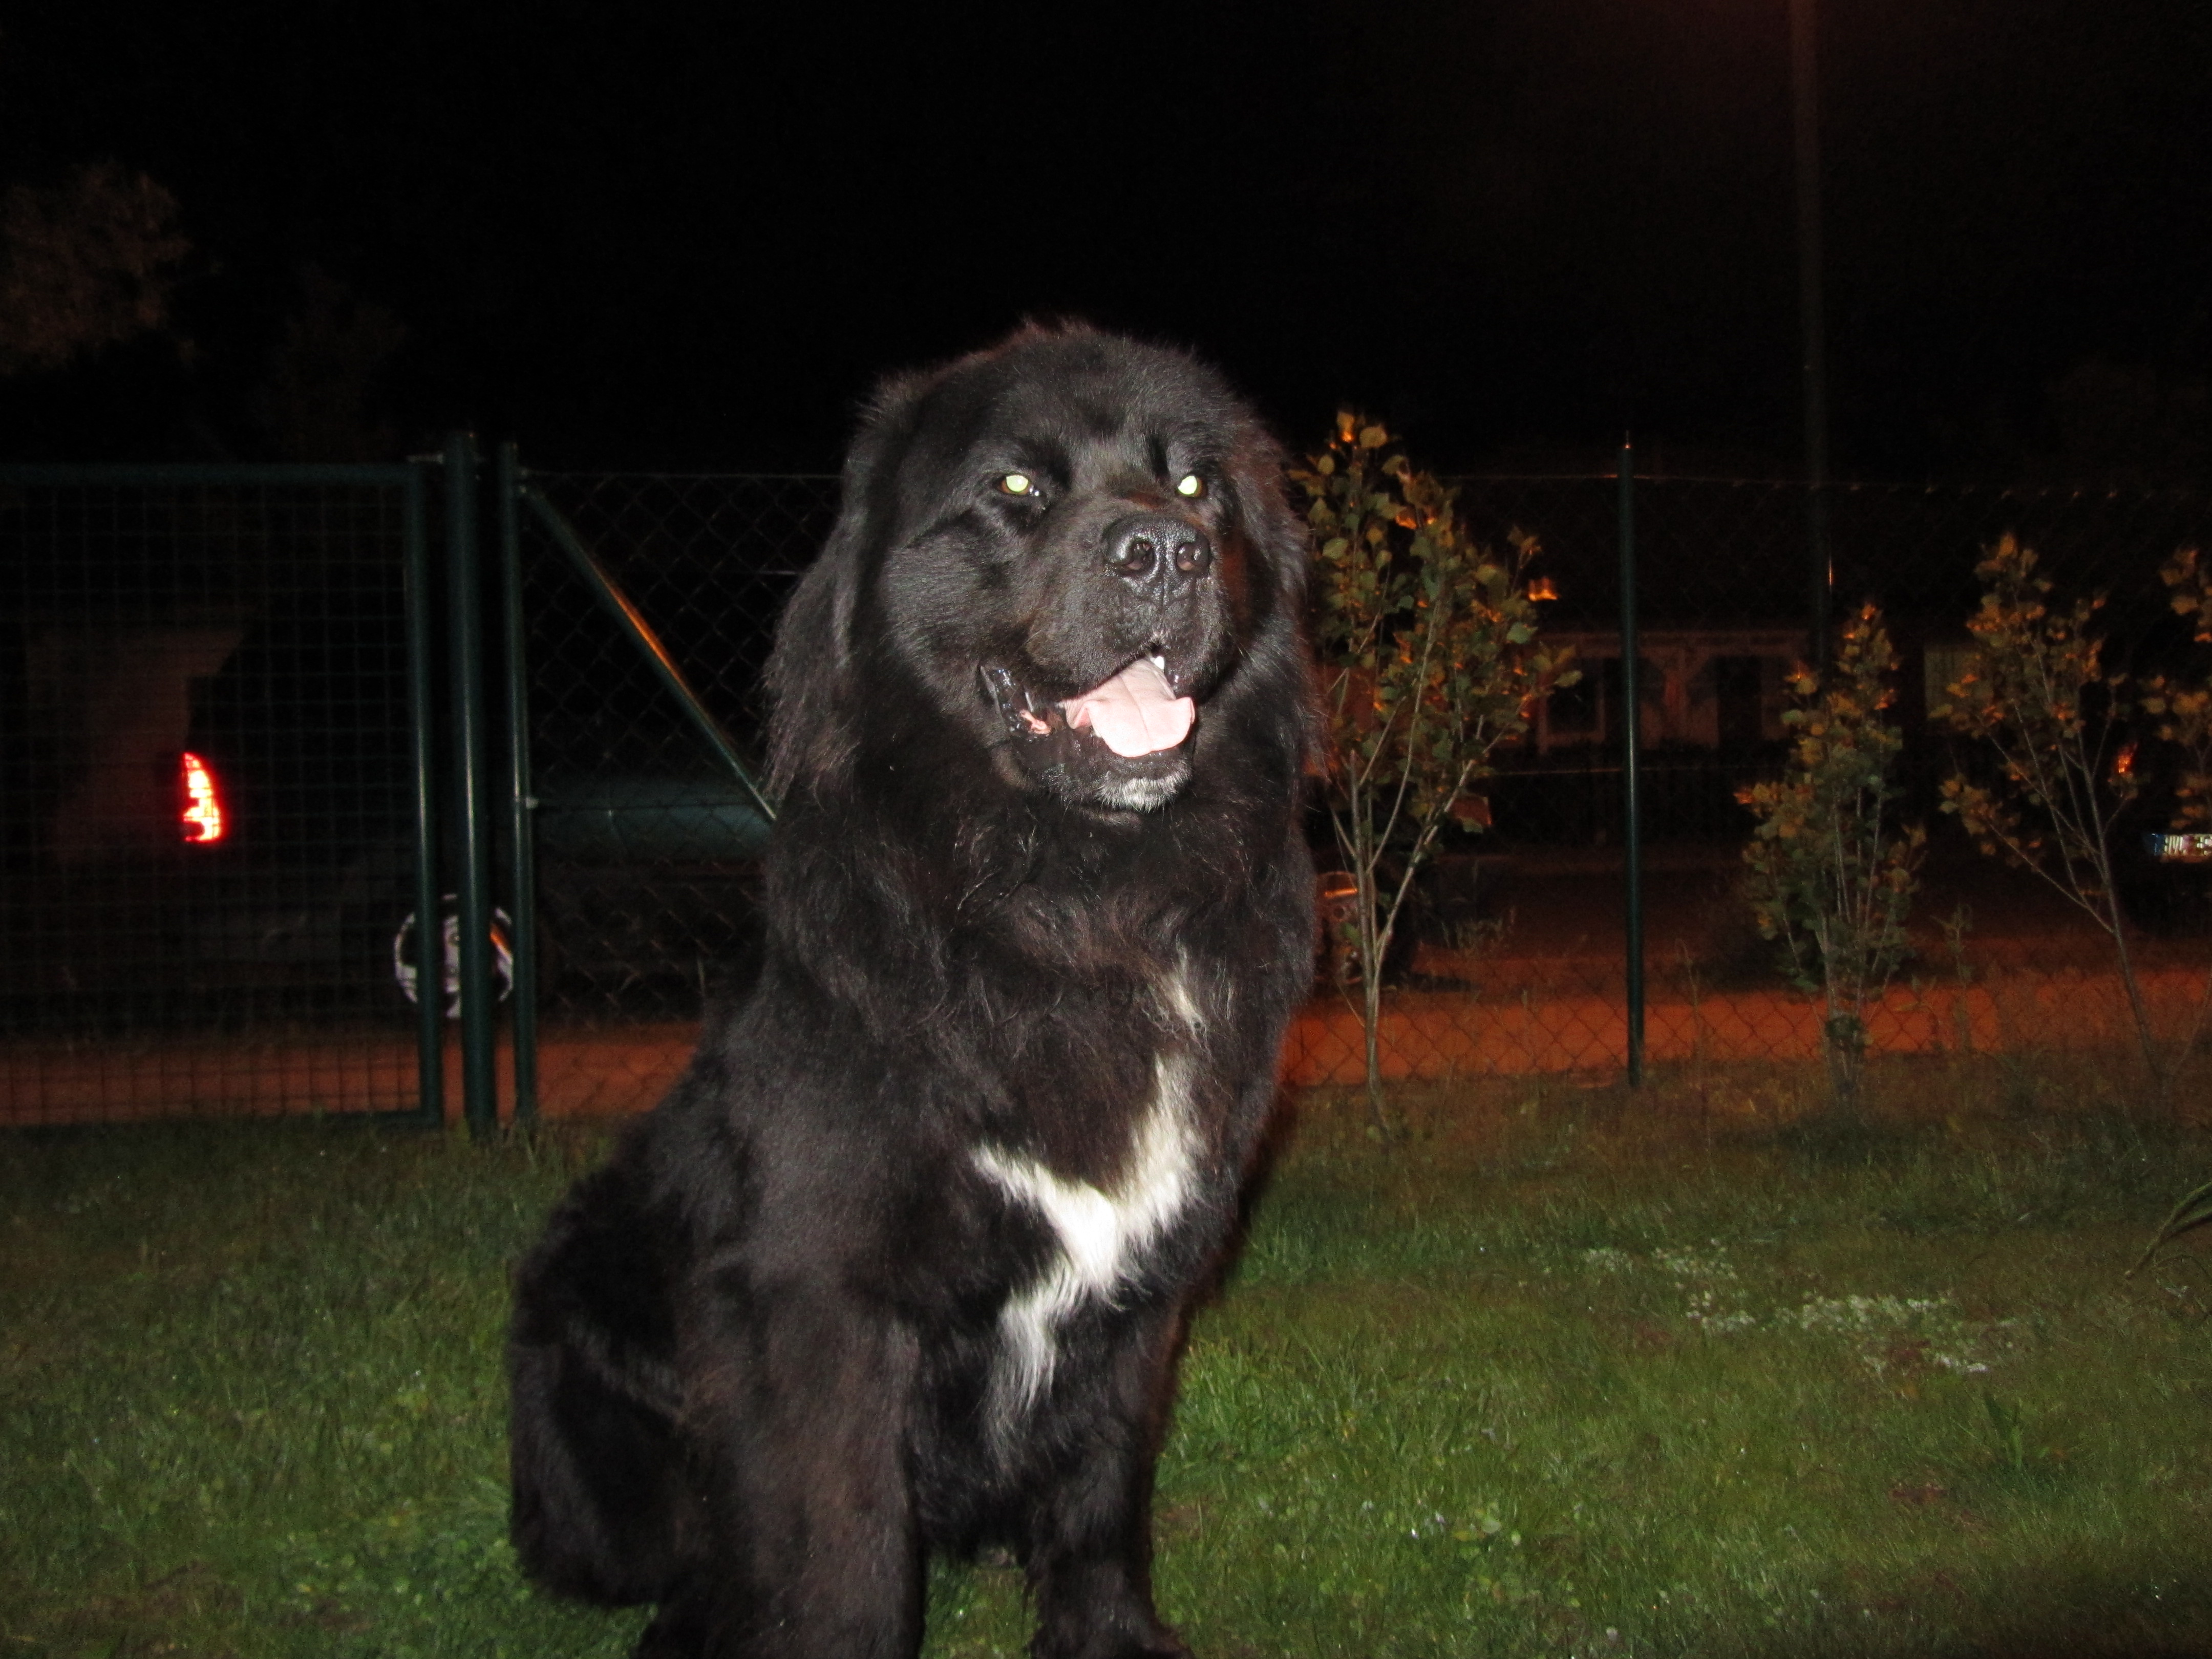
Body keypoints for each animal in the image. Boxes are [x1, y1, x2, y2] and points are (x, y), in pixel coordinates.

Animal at [508, 323, 1316, 1657]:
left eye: (1198, 485)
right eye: (1018, 487)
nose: (1166, 549)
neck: (1070, 913)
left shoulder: (1145, 1292)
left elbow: (1102, 1494)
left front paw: (1107, 1635)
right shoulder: (824, 1294)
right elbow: (847, 1550)